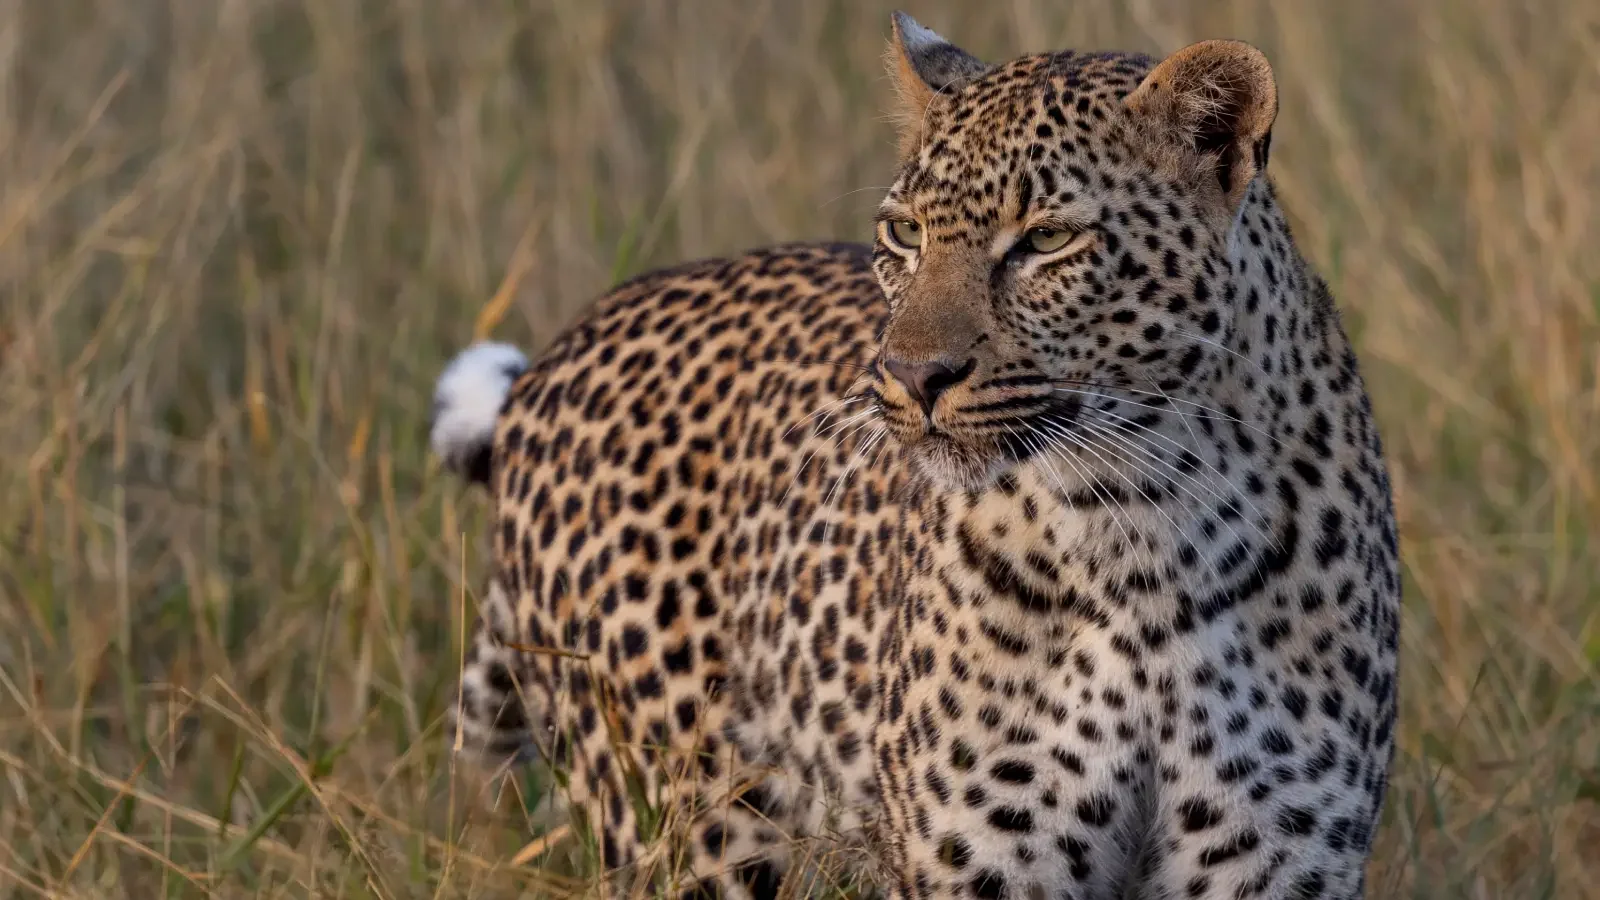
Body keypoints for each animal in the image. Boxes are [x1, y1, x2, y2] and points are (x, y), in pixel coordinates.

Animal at [428, 12, 1401, 900]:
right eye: (904, 234)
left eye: (1048, 239)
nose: (910, 376)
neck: (1139, 532)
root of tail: (557, 355)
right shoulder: (982, 864)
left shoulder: (1274, 861)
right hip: (686, 826)